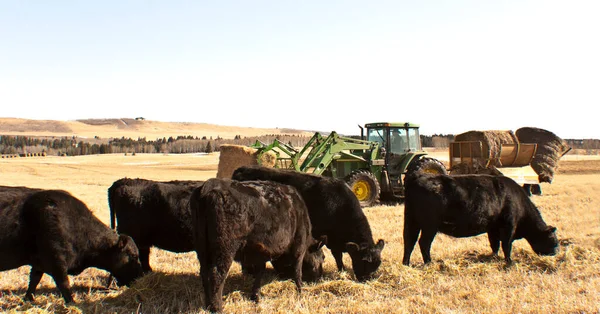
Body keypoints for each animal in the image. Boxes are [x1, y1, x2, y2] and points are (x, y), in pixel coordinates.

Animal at [0, 185, 143, 302]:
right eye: (133, 256)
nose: (140, 276)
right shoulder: (57, 262)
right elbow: (64, 285)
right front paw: (72, 303)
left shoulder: (39, 263)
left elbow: (34, 280)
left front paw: (28, 299)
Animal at [191, 178, 324, 312]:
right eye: (323, 258)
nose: (320, 278)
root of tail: (210, 185)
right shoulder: (299, 244)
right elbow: (297, 270)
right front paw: (301, 291)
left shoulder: (260, 252)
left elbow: (260, 272)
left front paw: (256, 296)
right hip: (225, 248)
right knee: (217, 275)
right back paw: (217, 307)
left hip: (203, 249)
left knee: (204, 273)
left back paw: (208, 305)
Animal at [232, 167, 386, 282]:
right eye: (364, 261)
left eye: (378, 264)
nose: (367, 280)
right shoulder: (330, 240)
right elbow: (337, 256)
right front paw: (341, 270)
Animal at [400, 172, 560, 264]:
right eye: (553, 238)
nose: (557, 251)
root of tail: (415, 181)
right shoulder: (509, 226)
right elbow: (506, 245)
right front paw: (510, 262)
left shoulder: (493, 228)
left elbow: (494, 244)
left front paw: (494, 257)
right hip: (429, 226)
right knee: (423, 243)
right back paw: (429, 262)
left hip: (412, 222)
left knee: (409, 241)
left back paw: (406, 264)